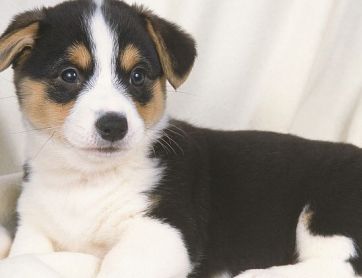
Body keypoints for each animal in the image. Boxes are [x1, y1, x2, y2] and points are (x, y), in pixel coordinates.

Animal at [0, 0, 362, 278]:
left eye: (138, 75)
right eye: (69, 75)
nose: (114, 126)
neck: (86, 181)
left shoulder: (165, 231)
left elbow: (115, 266)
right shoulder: (33, 229)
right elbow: (26, 255)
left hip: (330, 212)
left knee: (339, 266)